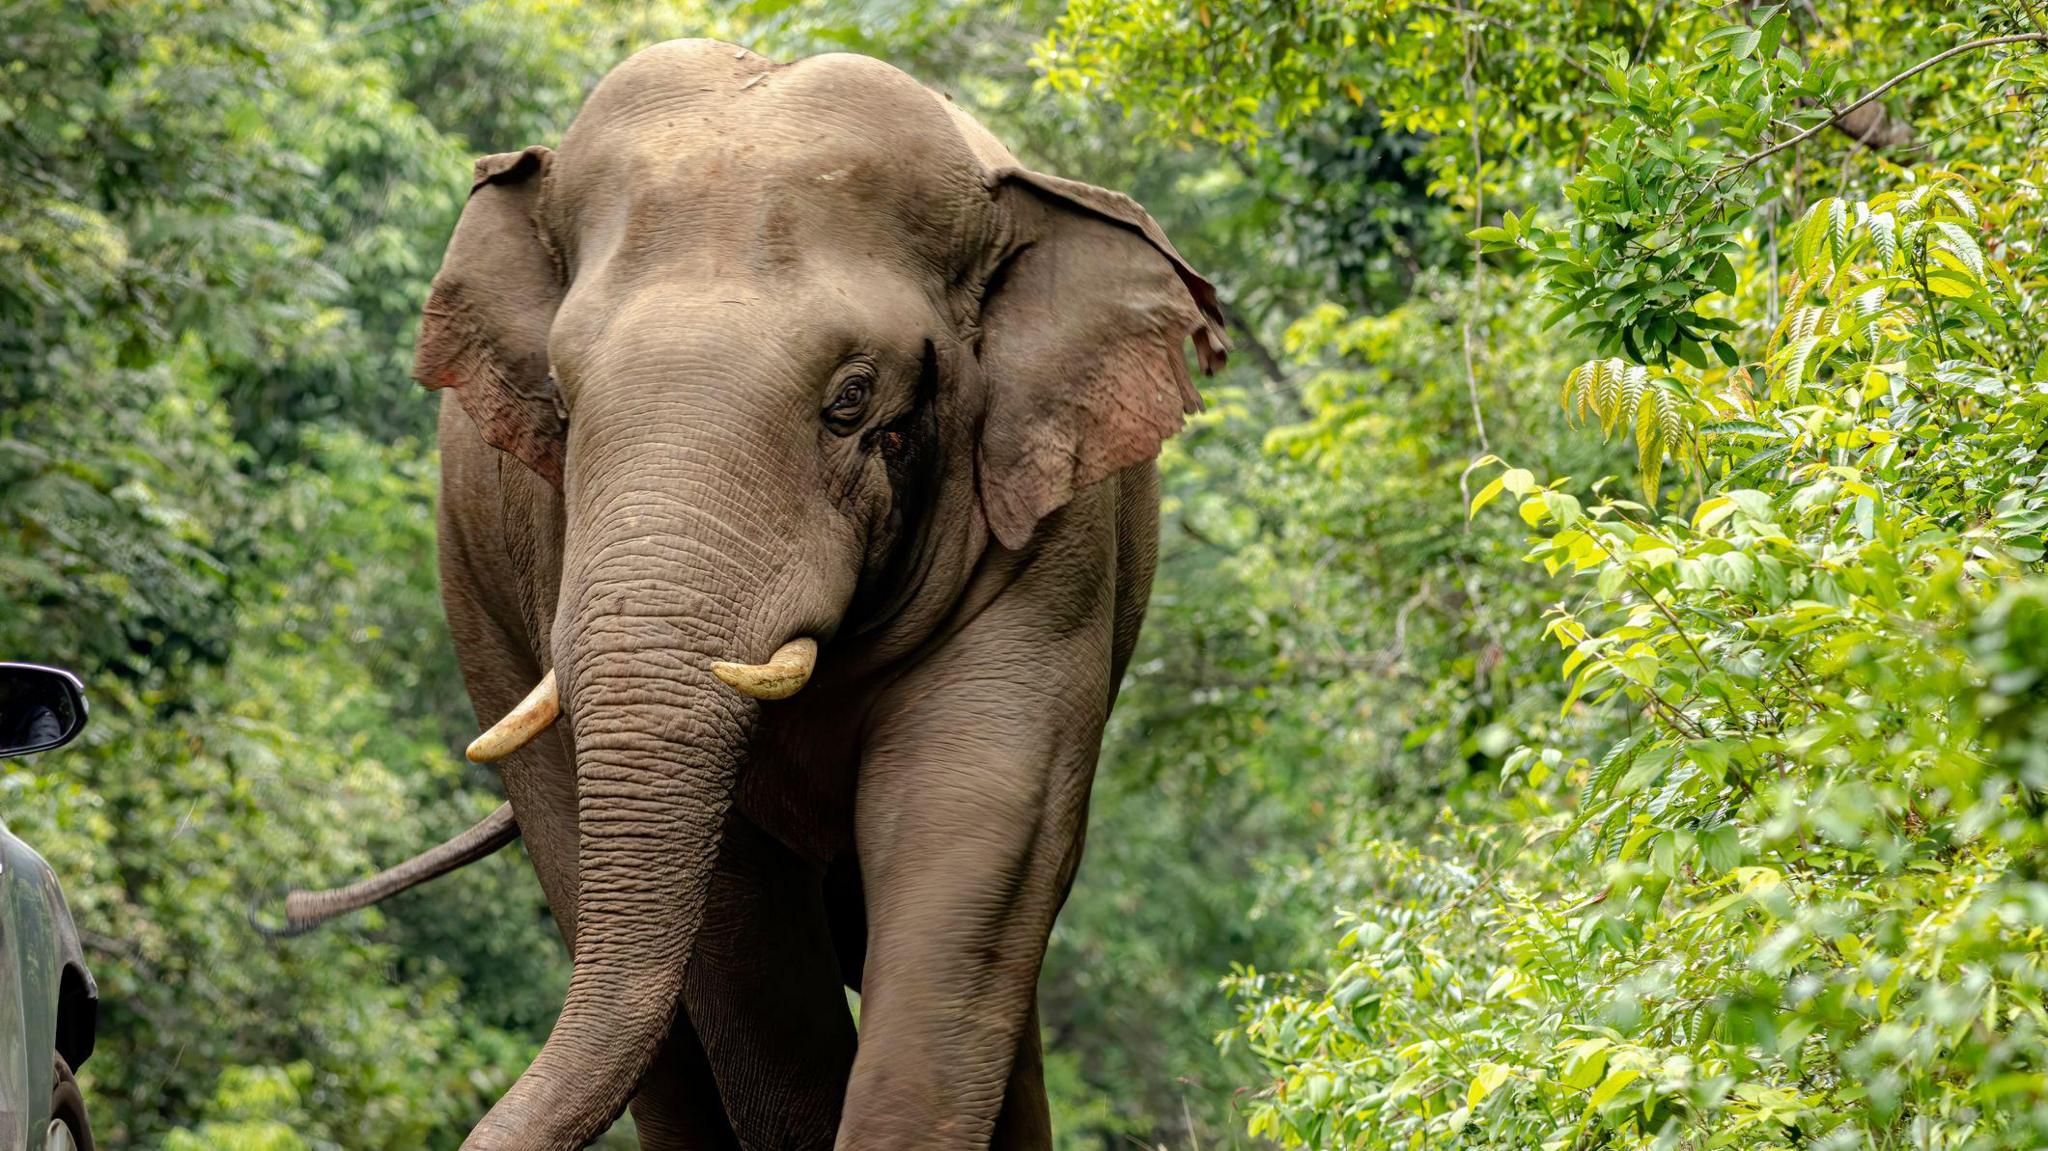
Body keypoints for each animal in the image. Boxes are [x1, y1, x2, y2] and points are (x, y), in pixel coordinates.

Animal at [289, 38, 1225, 1151]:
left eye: (850, 399)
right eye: (559, 398)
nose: (290, 910)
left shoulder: (1052, 535)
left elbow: (973, 824)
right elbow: (739, 910)